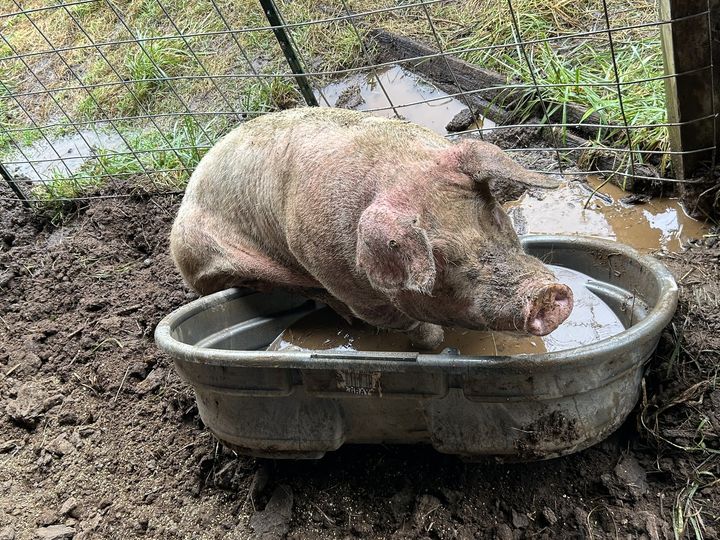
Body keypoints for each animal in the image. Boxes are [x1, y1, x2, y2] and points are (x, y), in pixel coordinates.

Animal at [170, 108, 573, 349]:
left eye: (495, 216)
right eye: (440, 257)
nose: (545, 294)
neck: (395, 171)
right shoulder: (357, 295)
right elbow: (408, 326)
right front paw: (436, 341)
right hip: (221, 266)